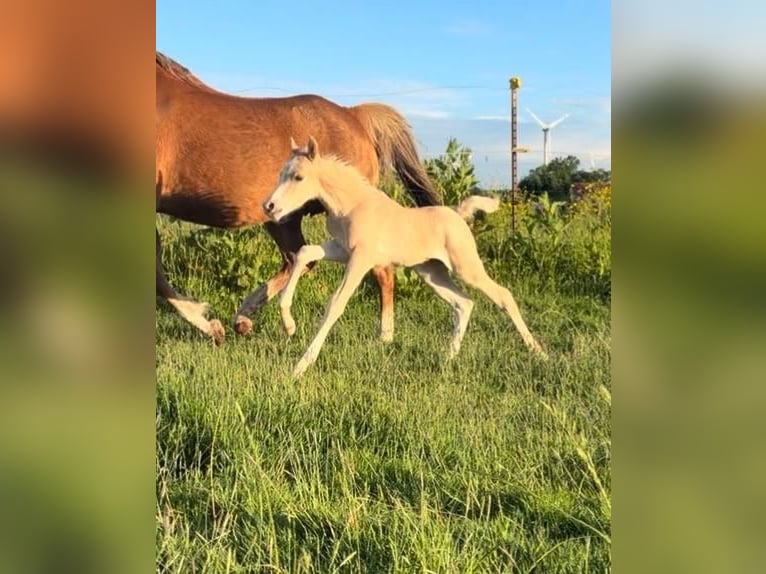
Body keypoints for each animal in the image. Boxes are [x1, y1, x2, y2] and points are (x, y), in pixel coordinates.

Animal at [155, 52, 441, 344]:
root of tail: (354, 115)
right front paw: (213, 324)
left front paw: (209, 325)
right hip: (282, 218)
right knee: (298, 259)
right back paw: (246, 319)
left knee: (379, 269)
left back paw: (384, 336)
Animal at [263, 136, 548, 378]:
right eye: (280, 174)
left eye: (298, 177)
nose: (269, 206)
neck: (352, 205)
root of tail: (458, 214)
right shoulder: (341, 250)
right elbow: (304, 253)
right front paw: (289, 324)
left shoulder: (361, 259)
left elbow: (335, 303)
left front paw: (300, 367)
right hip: (432, 273)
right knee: (463, 303)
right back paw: (448, 358)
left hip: (466, 268)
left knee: (503, 296)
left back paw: (538, 352)